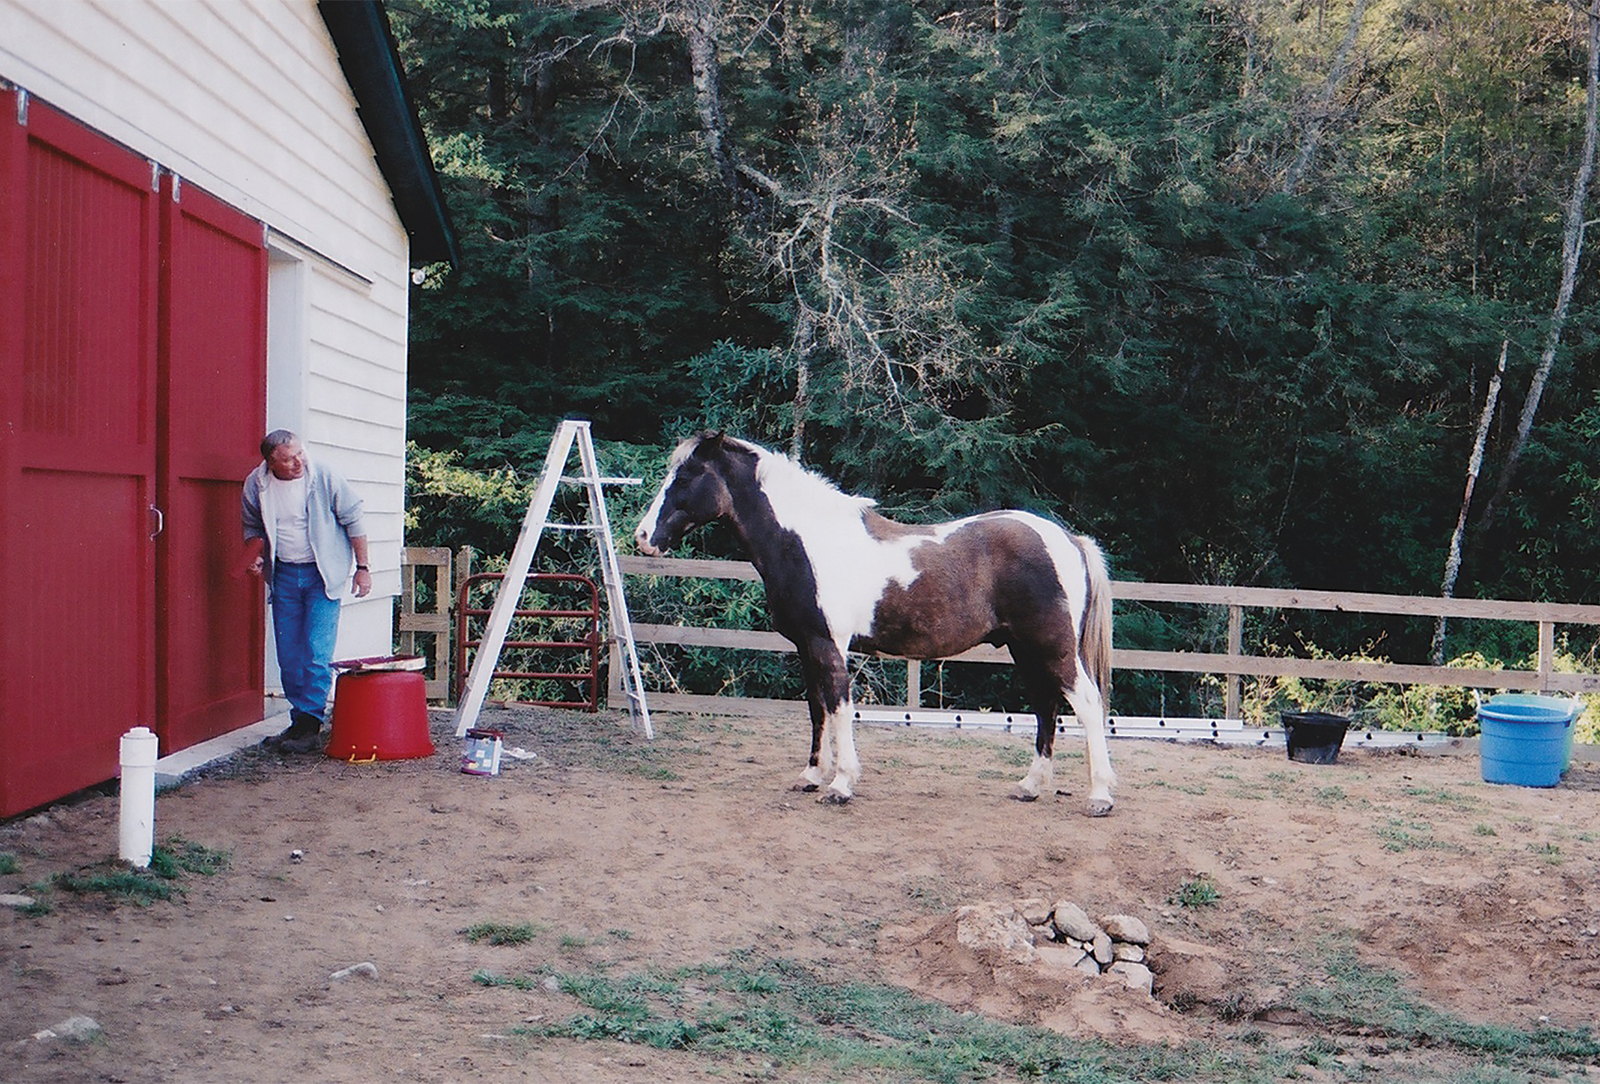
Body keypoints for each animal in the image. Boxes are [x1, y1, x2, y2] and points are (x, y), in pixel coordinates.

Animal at [630, 431, 1120, 815]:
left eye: (686, 477)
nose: (642, 537)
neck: (808, 542)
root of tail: (1068, 538)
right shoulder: (806, 646)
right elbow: (817, 709)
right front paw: (811, 776)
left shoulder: (830, 645)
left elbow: (840, 709)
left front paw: (841, 784)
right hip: (1025, 648)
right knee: (1046, 707)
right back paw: (1030, 786)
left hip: (1053, 646)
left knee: (1087, 704)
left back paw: (1099, 796)